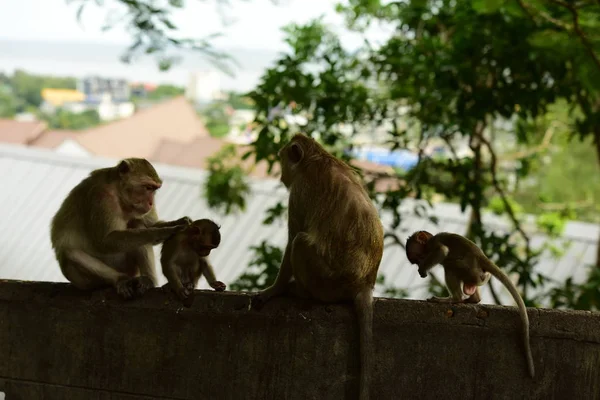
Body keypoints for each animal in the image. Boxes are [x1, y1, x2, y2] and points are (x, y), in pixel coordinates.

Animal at [50, 159, 189, 300]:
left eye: (154, 189)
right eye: (148, 188)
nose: (151, 203)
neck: (119, 194)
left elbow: (149, 225)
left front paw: (179, 222)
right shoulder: (100, 196)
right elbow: (105, 242)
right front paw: (165, 231)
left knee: (137, 225)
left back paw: (148, 280)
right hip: (82, 281)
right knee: (70, 253)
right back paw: (120, 279)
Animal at [253, 134, 384, 400]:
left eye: (282, 159)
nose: (282, 176)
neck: (317, 158)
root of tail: (365, 283)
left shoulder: (299, 191)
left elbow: (293, 236)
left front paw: (274, 290)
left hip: (328, 282)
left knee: (301, 242)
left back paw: (301, 292)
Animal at [406, 231, 536, 378]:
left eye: (420, 258)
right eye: (416, 260)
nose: (420, 264)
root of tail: (483, 258)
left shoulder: (433, 244)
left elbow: (442, 251)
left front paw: (423, 269)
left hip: (469, 271)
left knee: (449, 265)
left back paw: (454, 299)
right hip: (478, 276)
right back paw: (473, 299)